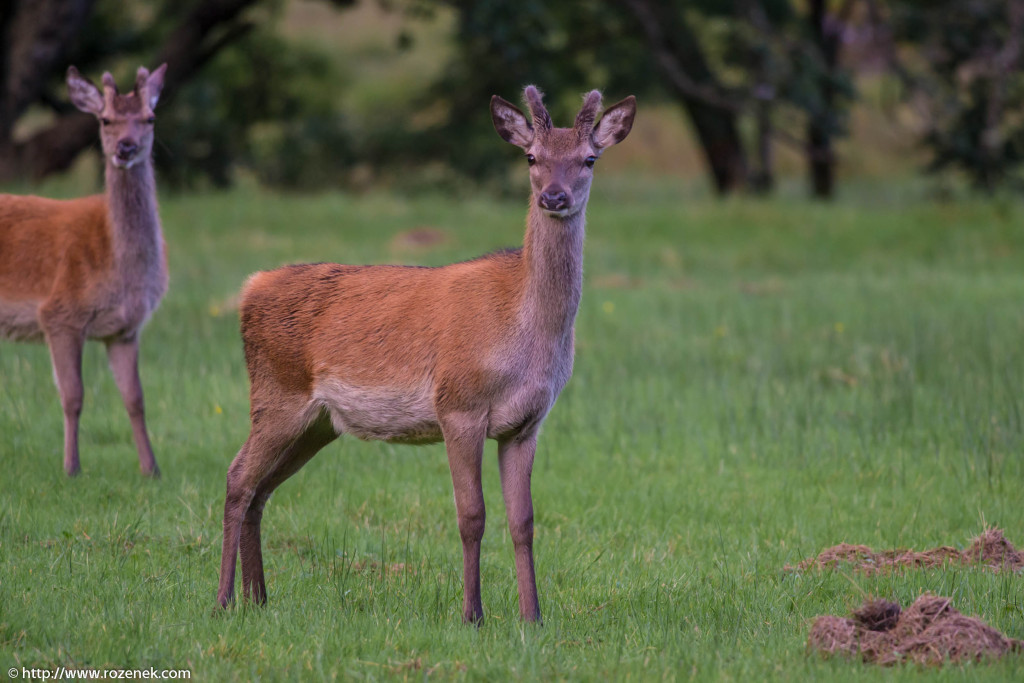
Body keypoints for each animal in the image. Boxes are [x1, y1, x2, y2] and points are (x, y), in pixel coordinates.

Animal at [0, 66, 168, 479]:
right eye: (105, 119)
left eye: (150, 118)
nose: (125, 147)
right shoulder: (59, 313)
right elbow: (73, 395)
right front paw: (71, 467)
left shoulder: (125, 329)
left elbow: (136, 398)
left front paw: (151, 469)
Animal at [216, 85, 630, 626]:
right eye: (531, 157)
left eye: (589, 158)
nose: (553, 197)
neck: (525, 334)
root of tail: (250, 288)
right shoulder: (459, 404)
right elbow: (472, 515)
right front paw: (473, 615)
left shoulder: (527, 423)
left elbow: (524, 521)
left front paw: (532, 616)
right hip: (276, 394)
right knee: (237, 479)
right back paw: (225, 599)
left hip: (318, 423)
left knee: (261, 490)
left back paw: (259, 598)